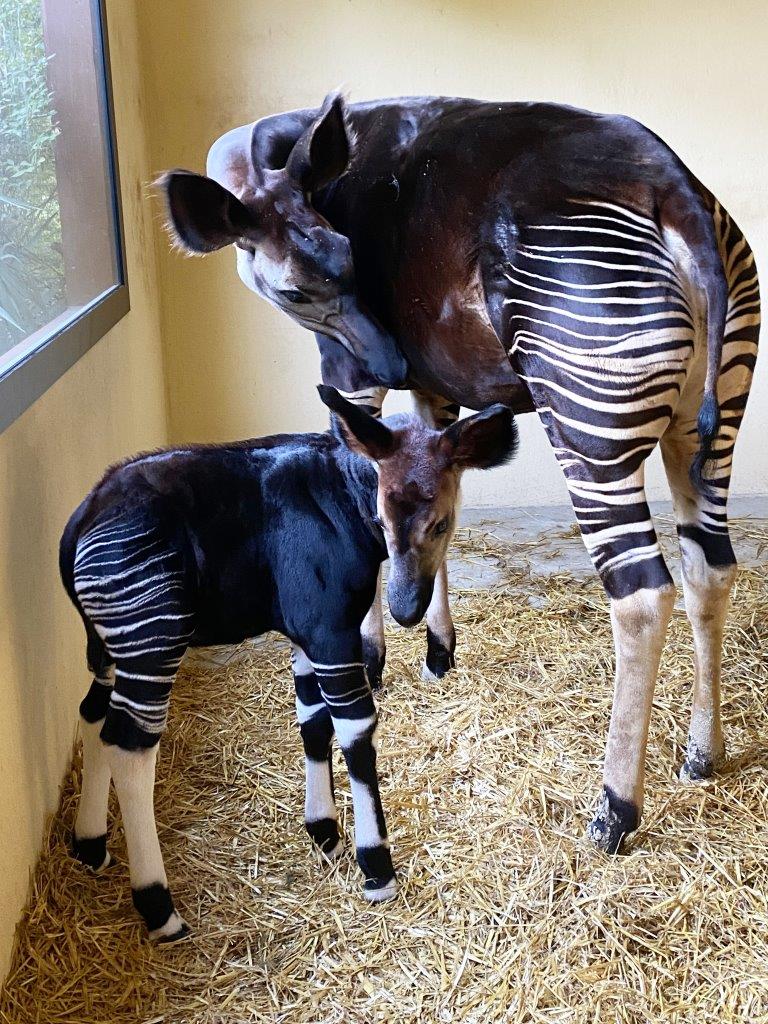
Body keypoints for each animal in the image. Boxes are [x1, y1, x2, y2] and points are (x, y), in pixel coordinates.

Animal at [60, 385, 518, 942]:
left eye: (441, 523)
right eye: (381, 521)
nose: (406, 610)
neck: (345, 496)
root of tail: (83, 518)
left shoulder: (306, 637)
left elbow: (312, 721)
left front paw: (324, 832)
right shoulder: (330, 632)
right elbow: (356, 731)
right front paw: (376, 869)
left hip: (107, 647)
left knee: (92, 715)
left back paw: (89, 845)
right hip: (153, 638)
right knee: (129, 745)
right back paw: (159, 908)